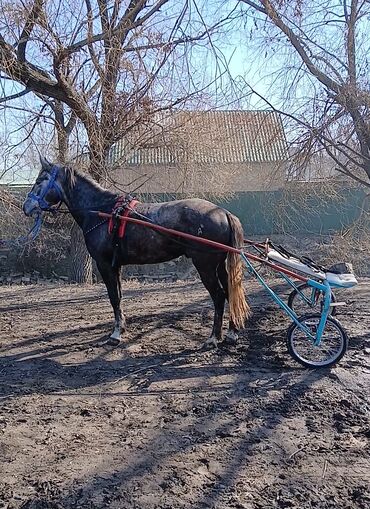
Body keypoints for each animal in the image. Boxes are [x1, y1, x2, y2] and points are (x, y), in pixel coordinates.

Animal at [22, 159, 249, 348]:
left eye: (40, 180)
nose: (26, 207)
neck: (103, 212)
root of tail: (223, 212)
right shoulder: (116, 265)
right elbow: (119, 296)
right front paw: (121, 328)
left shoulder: (105, 264)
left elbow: (114, 297)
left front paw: (115, 335)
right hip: (219, 266)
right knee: (229, 292)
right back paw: (232, 334)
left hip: (205, 266)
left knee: (218, 296)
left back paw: (213, 338)